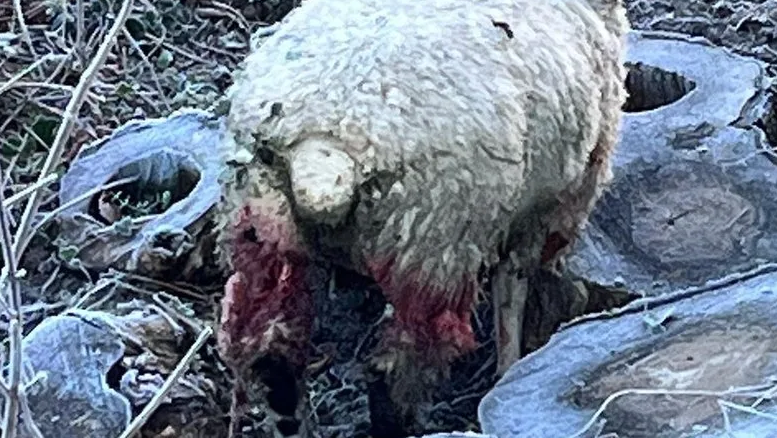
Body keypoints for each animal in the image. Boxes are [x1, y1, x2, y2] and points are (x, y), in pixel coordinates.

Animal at [214, 0, 632, 428]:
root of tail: (325, 148)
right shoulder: (556, 204)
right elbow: (512, 293)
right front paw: (509, 365)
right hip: (431, 247)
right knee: (396, 366)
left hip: (266, 231)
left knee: (273, 355)